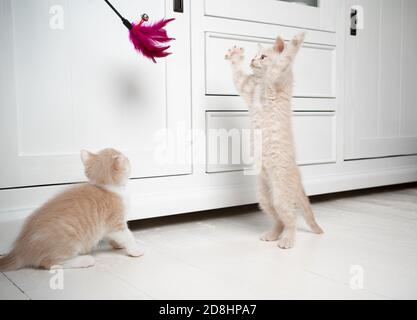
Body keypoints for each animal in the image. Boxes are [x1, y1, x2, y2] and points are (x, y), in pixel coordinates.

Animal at [0, 148, 143, 270]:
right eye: (127, 159)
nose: (129, 158)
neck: (106, 187)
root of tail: (21, 248)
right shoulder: (115, 222)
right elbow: (127, 235)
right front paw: (135, 250)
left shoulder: (107, 226)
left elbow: (111, 236)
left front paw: (118, 245)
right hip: (69, 241)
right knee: (50, 263)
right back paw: (84, 260)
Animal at [226, 32, 324, 249]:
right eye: (254, 56)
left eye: (263, 57)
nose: (252, 61)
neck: (262, 82)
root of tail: (297, 174)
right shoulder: (247, 89)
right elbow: (238, 77)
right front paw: (235, 56)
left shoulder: (278, 76)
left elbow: (285, 58)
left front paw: (297, 38)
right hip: (264, 198)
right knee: (280, 220)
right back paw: (273, 234)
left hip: (281, 195)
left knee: (291, 220)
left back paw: (287, 240)